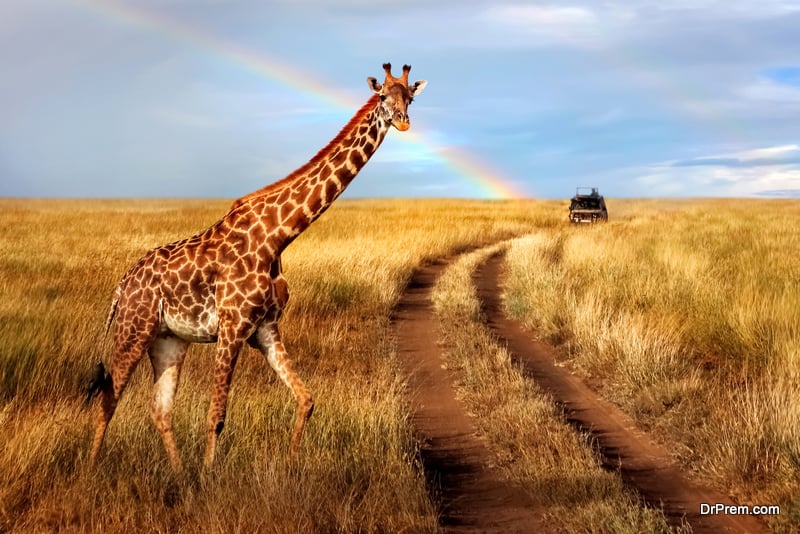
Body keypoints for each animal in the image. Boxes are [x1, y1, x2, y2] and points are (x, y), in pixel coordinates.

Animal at [86, 63, 424, 474]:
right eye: (382, 97)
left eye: (410, 98)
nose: (403, 122)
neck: (278, 235)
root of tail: (123, 284)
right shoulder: (233, 327)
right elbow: (216, 415)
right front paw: (207, 478)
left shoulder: (265, 328)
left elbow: (306, 399)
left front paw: (291, 466)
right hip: (134, 329)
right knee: (108, 400)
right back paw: (91, 474)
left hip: (169, 340)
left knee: (159, 410)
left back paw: (178, 474)